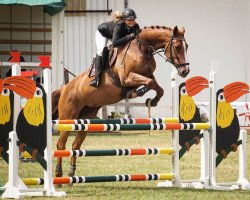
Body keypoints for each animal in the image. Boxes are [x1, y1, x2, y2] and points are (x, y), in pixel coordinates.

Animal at [52, 25, 189, 180]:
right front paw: (136, 93)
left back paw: (71, 172)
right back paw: (58, 172)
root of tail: (64, 88)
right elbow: (149, 83)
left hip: (85, 119)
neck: (142, 48)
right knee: (61, 144)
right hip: (68, 118)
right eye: (177, 47)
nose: (185, 71)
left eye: (186, 47)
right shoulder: (127, 78)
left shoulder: (146, 75)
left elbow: (157, 87)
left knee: (75, 145)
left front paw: (151, 100)